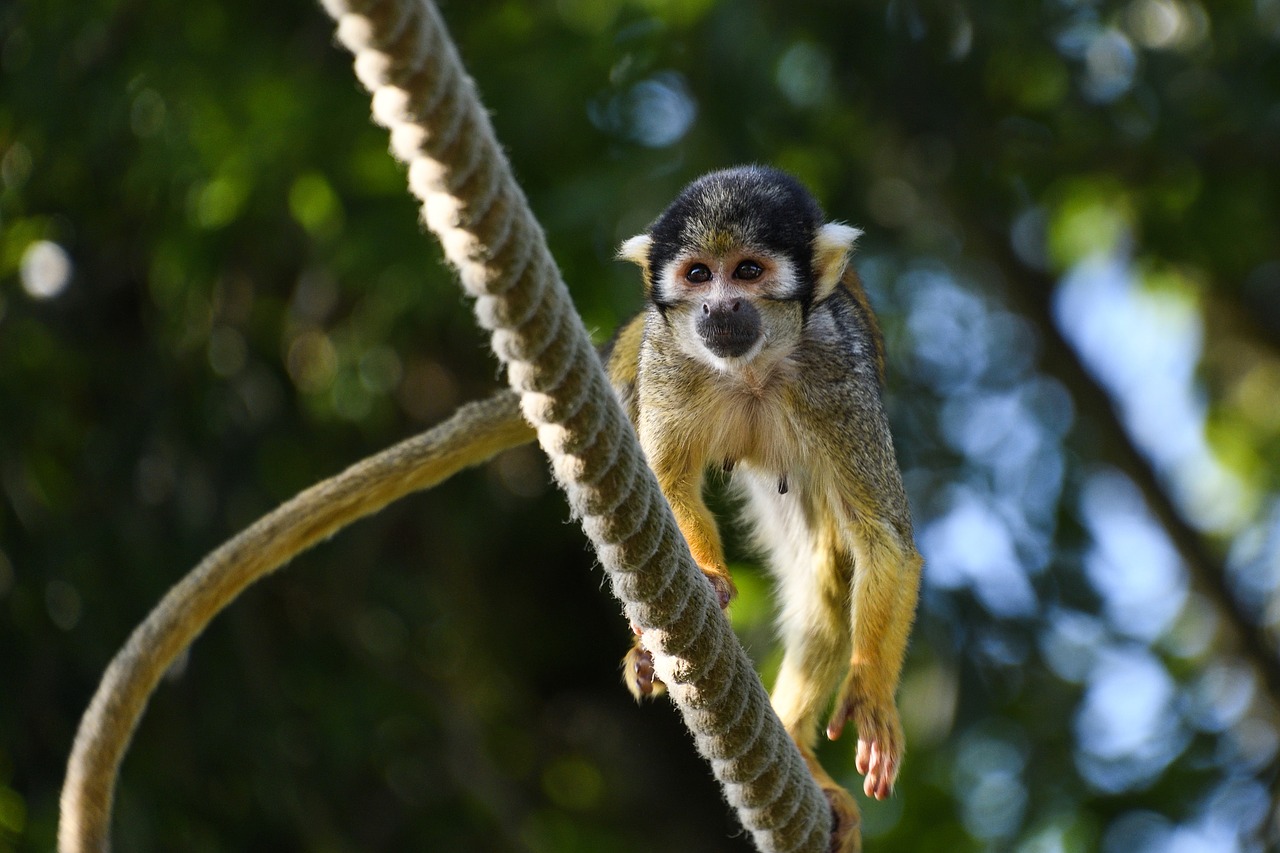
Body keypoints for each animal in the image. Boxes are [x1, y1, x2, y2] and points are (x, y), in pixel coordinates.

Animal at [601, 162, 916, 840]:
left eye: (748, 270)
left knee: (832, 566)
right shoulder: (668, 359)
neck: (749, 368)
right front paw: (711, 579)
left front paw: (871, 692)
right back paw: (647, 651)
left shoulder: (835, 370)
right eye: (698, 275)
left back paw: (798, 747)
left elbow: (886, 540)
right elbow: (666, 484)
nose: (719, 305)